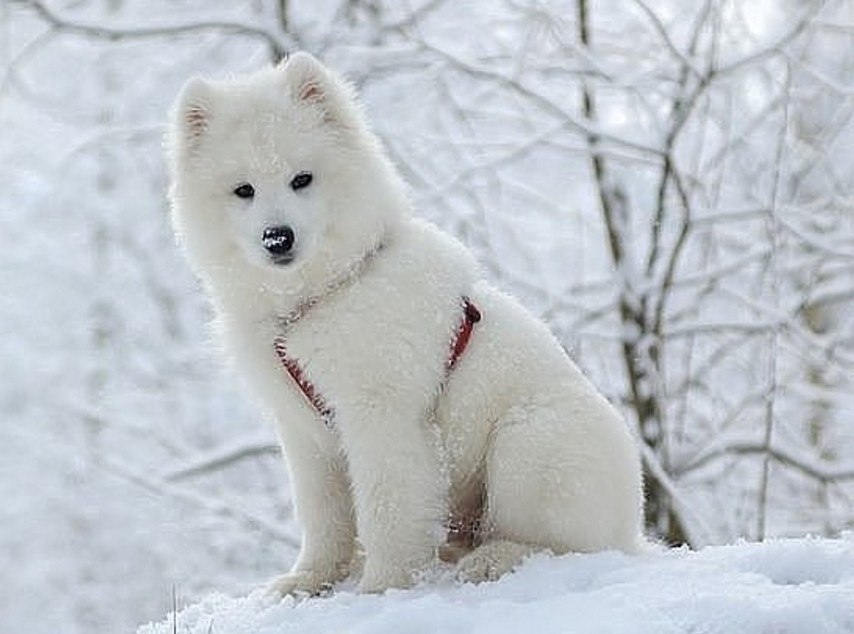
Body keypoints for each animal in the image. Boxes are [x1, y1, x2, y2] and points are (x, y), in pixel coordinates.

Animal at [167, 50, 644, 592]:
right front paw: (309, 580)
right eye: (243, 190)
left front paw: (384, 586)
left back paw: (492, 559)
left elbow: (386, 508)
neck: (321, 297)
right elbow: (322, 515)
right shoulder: (305, 431)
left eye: (302, 179)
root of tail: (633, 527)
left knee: (562, 543)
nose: (277, 237)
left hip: (531, 441)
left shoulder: (382, 416)